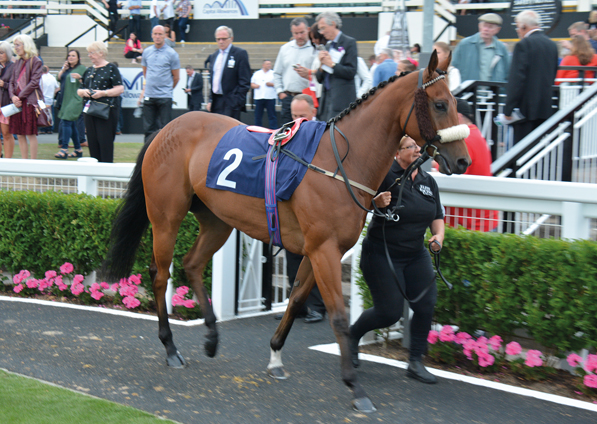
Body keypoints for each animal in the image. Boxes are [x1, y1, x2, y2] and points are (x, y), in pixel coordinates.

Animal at [103, 51, 470, 412]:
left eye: (456, 101)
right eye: (440, 104)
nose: (464, 161)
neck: (340, 163)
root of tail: (165, 128)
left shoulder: (316, 250)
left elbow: (295, 301)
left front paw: (276, 356)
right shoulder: (324, 250)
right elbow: (338, 317)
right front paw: (355, 386)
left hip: (218, 219)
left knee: (191, 264)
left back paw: (211, 337)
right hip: (166, 216)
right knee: (160, 274)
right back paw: (170, 349)